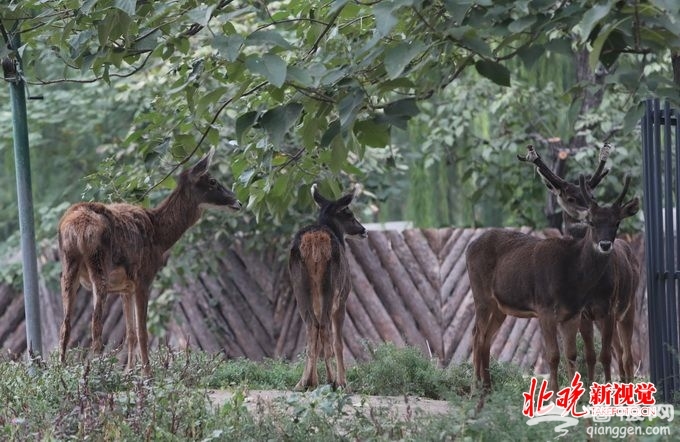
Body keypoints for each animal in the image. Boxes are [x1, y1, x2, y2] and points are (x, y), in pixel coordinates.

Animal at [58, 147, 241, 375]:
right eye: (213, 181)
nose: (238, 202)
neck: (160, 236)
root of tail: (75, 228)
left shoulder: (124, 287)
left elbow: (130, 333)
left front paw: (128, 372)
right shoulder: (143, 278)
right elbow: (143, 331)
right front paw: (146, 373)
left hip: (68, 267)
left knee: (65, 325)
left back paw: (61, 370)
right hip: (99, 266)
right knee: (95, 324)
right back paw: (98, 372)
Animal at [289, 183, 367, 390]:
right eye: (349, 213)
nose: (364, 230)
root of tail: (315, 243)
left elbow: (316, 340)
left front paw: (312, 380)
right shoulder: (343, 300)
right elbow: (338, 342)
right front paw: (343, 381)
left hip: (300, 285)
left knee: (312, 325)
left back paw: (303, 382)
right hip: (331, 286)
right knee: (323, 326)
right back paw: (332, 380)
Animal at [466, 174, 639, 393]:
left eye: (617, 223)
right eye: (591, 222)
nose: (605, 244)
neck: (571, 277)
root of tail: (469, 247)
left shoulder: (573, 313)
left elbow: (571, 354)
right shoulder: (544, 307)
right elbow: (553, 355)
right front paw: (555, 394)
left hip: (500, 307)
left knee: (486, 337)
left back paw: (487, 389)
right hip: (480, 295)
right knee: (476, 335)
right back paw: (474, 389)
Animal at [518, 144, 640, 384]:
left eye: (592, 194)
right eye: (569, 197)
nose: (586, 213)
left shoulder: (608, 307)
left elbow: (603, 356)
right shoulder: (583, 312)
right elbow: (589, 354)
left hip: (628, 305)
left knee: (627, 354)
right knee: (619, 350)